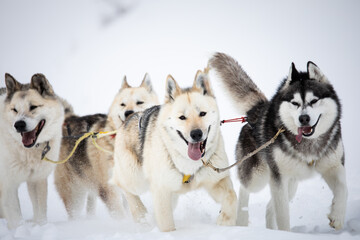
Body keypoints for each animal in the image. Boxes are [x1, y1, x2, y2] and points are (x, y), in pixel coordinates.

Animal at [0, 73, 65, 229]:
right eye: (14, 109)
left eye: (33, 107)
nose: (19, 125)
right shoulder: (8, 185)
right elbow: (16, 218)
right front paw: (19, 230)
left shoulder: (37, 180)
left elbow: (40, 214)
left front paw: (41, 228)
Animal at [54, 73, 158, 219]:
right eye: (122, 104)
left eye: (139, 102)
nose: (128, 112)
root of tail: (69, 119)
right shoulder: (108, 189)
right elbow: (120, 213)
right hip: (75, 194)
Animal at [111, 70, 238, 232]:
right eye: (182, 117)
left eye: (202, 113)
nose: (196, 134)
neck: (188, 162)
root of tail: (133, 115)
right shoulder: (161, 190)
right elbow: (167, 224)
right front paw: (170, 234)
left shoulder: (216, 180)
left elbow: (231, 196)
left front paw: (225, 222)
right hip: (135, 179)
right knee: (121, 184)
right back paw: (141, 215)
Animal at [210, 52, 348, 231]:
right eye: (295, 103)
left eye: (314, 101)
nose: (304, 118)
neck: (308, 145)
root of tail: (257, 110)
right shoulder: (279, 177)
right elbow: (283, 215)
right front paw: (285, 233)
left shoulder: (333, 166)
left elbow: (343, 189)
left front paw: (337, 217)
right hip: (258, 176)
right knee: (244, 191)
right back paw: (241, 220)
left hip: (291, 183)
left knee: (270, 207)